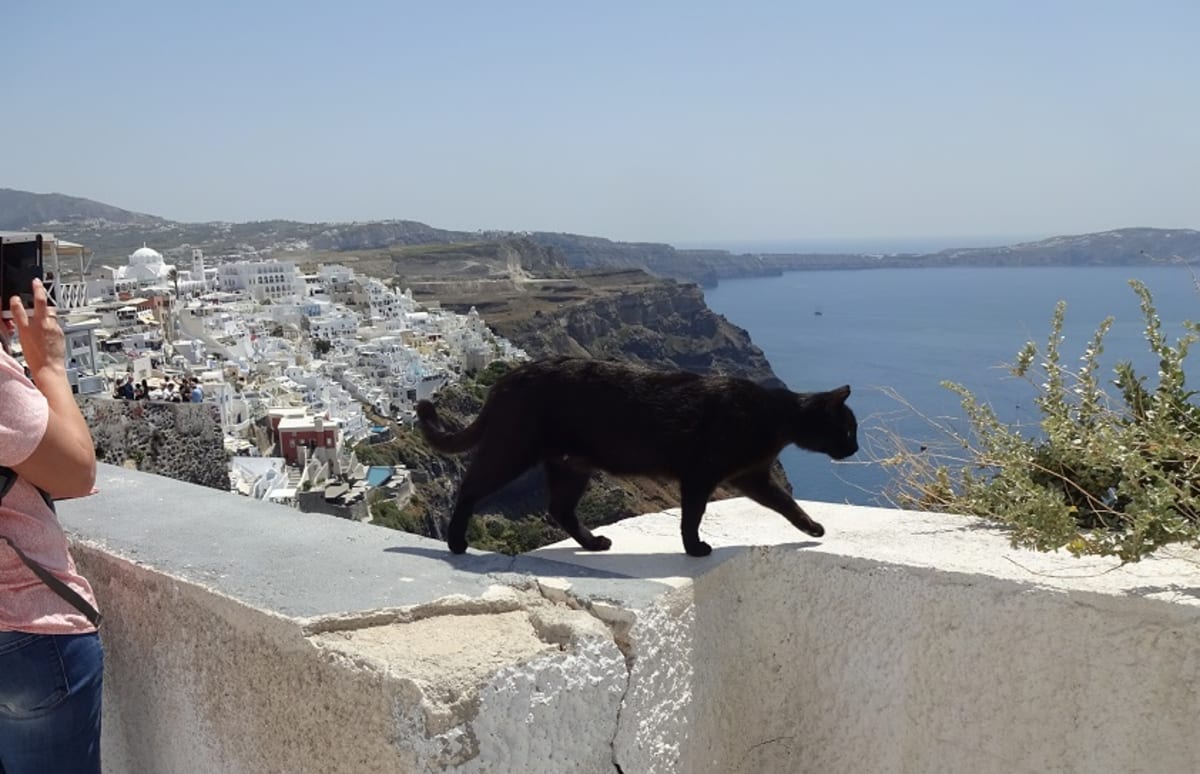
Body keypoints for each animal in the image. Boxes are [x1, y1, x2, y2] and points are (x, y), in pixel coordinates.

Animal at [417, 355, 859, 554]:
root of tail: (509, 376)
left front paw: (811, 529)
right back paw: (455, 542)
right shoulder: (701, 474)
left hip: (571, 465)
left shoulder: (753, 477)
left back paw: (593, 543)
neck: (775, 418)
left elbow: (786, 504)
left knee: (559, 509)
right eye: (849, 429)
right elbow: (692, 515)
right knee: (470, 488)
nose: (855, 448)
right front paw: (694, 548)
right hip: (513, 450)